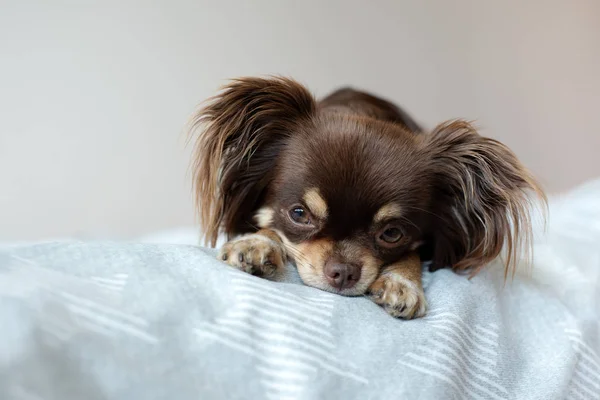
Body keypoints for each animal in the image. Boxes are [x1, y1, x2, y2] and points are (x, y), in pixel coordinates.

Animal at [190, 76, 548, 318]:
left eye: (391, 233)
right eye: (299, 214)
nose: (343, 272)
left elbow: (412, 254)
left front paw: (401, 282)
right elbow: (268, 228)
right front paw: (258, 242)